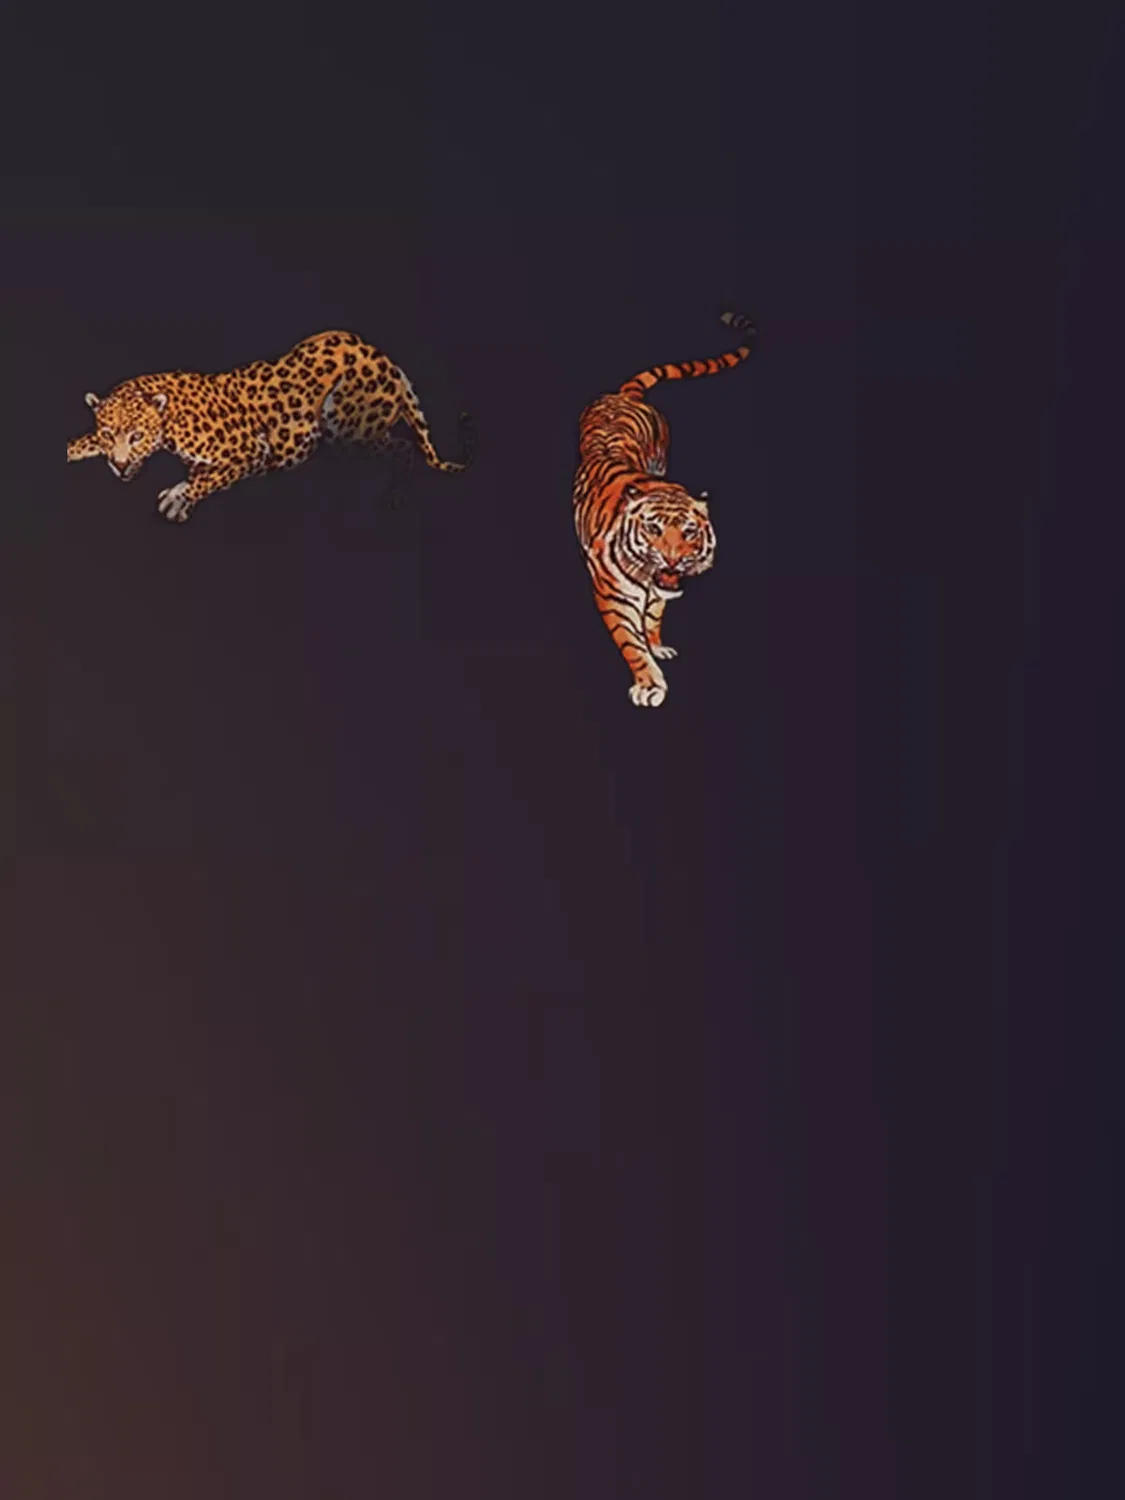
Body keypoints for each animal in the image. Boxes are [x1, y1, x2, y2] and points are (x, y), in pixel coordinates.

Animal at [572, 309, 756, 706]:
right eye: (653, 529)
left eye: (689, 532)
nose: (672, 560)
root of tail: (624, 394)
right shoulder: (613, 595)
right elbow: (630, 642)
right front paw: (649, 684)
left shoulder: (661, 590)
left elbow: (654, 616)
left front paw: (656, 645)